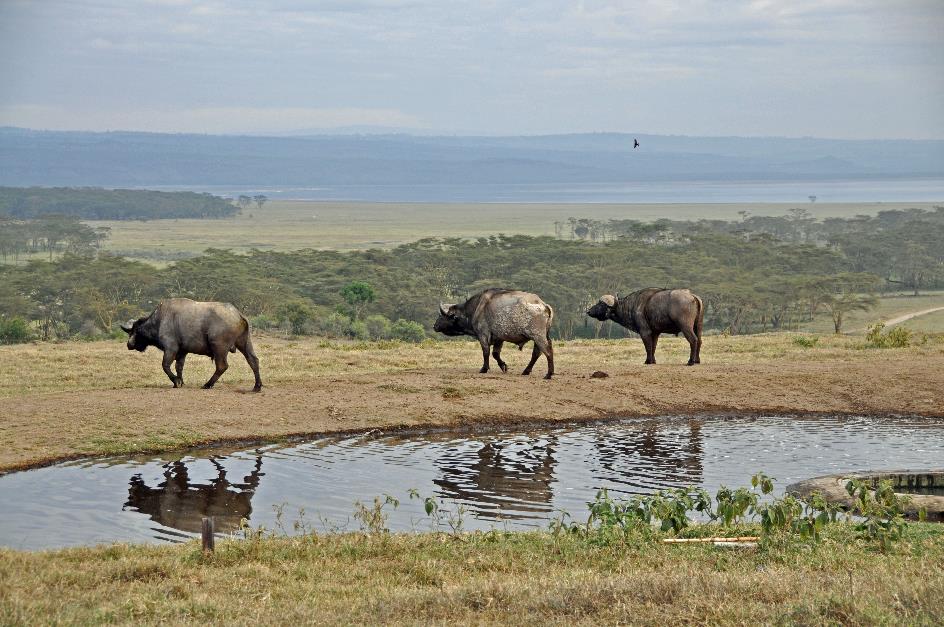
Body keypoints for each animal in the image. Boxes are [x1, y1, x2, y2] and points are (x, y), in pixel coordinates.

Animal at [121, 300, 264, 392]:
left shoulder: (170, 348)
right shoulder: (182, 352)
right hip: (244, 343)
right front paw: (180, 381)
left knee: (222, 366)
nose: (128, 344)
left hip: (219, 347)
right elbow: (179, 367)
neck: (159, 320)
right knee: (253, 361)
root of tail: (238, 315)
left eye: (133, 332)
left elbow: (165, 366)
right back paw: (257, 386)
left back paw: (208, 384)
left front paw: (176, 381)